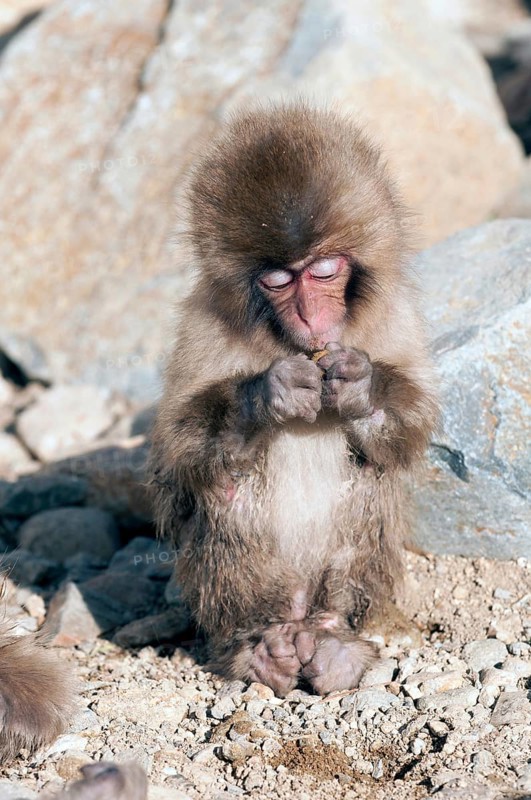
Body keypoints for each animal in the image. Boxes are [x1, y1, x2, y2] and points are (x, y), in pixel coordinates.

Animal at [150, 103, 439, 697]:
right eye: (280, 280)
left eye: (323, 270)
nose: (310, 315)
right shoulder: (204, 323)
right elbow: (180, 448)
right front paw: (269, 394)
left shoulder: (394, 311)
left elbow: (414, 421)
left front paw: (360, 388)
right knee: (224, 488)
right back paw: (262, 642)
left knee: (371, 474)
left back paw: (333, 637)